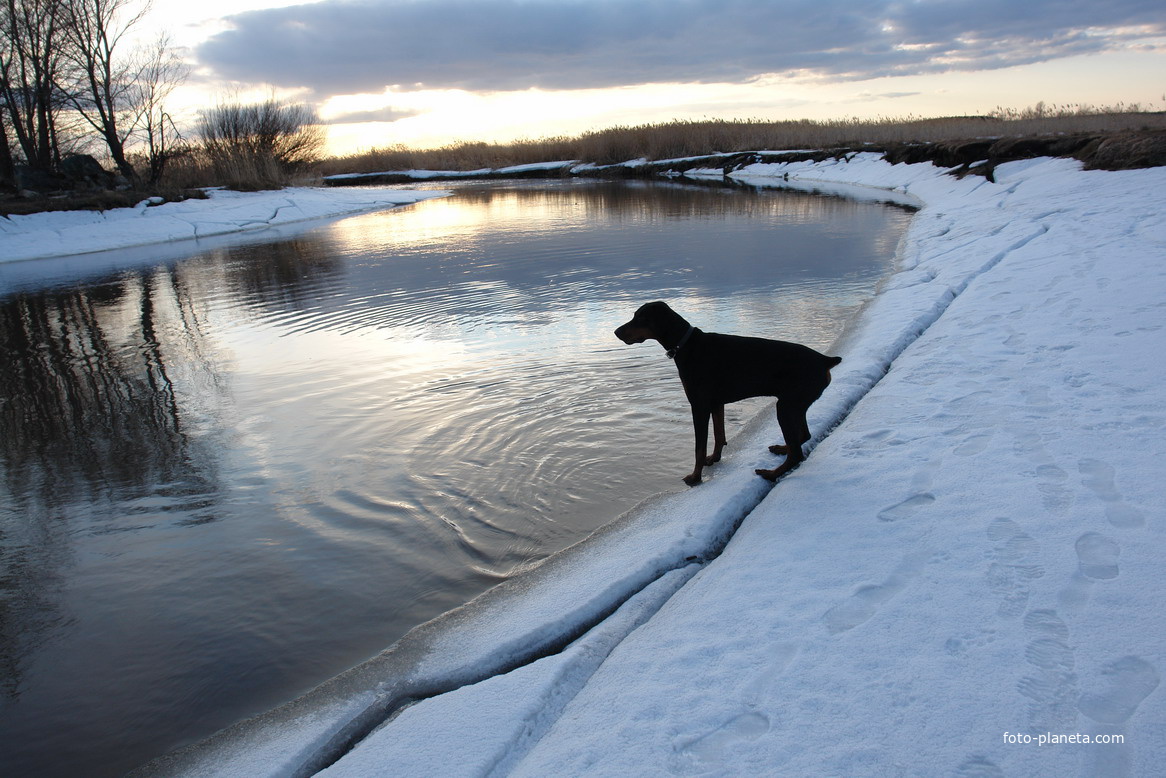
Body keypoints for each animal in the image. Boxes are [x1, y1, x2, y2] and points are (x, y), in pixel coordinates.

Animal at [615, 300, 844, 482]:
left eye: (640, 318)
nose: (616, 332)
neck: (686, 345)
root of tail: (825, 360)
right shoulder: (716, 402)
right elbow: (719, 434)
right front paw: (714, 458)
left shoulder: (698, 405)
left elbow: (699, 447)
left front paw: (695, 477)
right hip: (795, 404)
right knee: (803, 435)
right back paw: (782, 449)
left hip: (787, 406)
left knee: (797, 452)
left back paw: (770, 474)